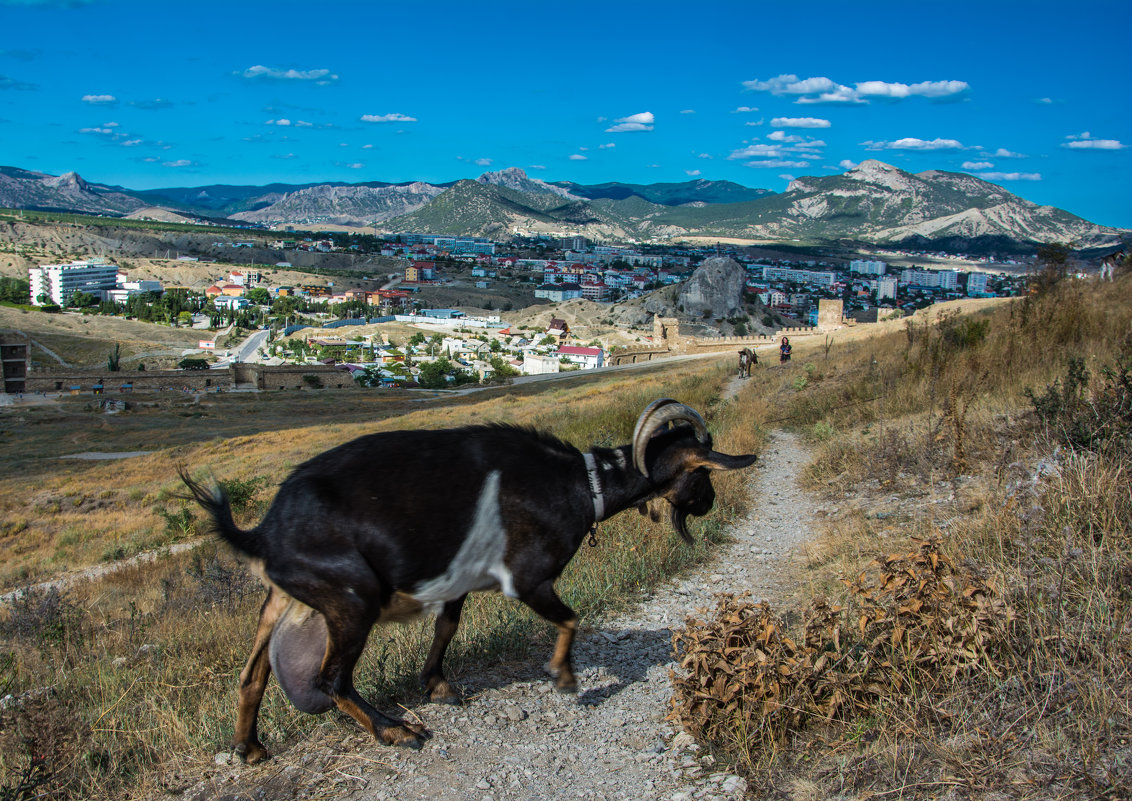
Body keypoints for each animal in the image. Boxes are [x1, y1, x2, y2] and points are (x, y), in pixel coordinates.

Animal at [181, 398, 756, 760]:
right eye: (703, 472)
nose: (710, 502)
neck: (581, 483)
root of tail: (264, 533)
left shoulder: (456, 583)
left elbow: (448, 628)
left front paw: (437, 685)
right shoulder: (529, 578)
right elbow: (572, 619)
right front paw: (565, 677)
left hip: (280, 601)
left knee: (252, 677)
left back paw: (250, 748)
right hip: (351, 597)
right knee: (330, 679)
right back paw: (396, 731)